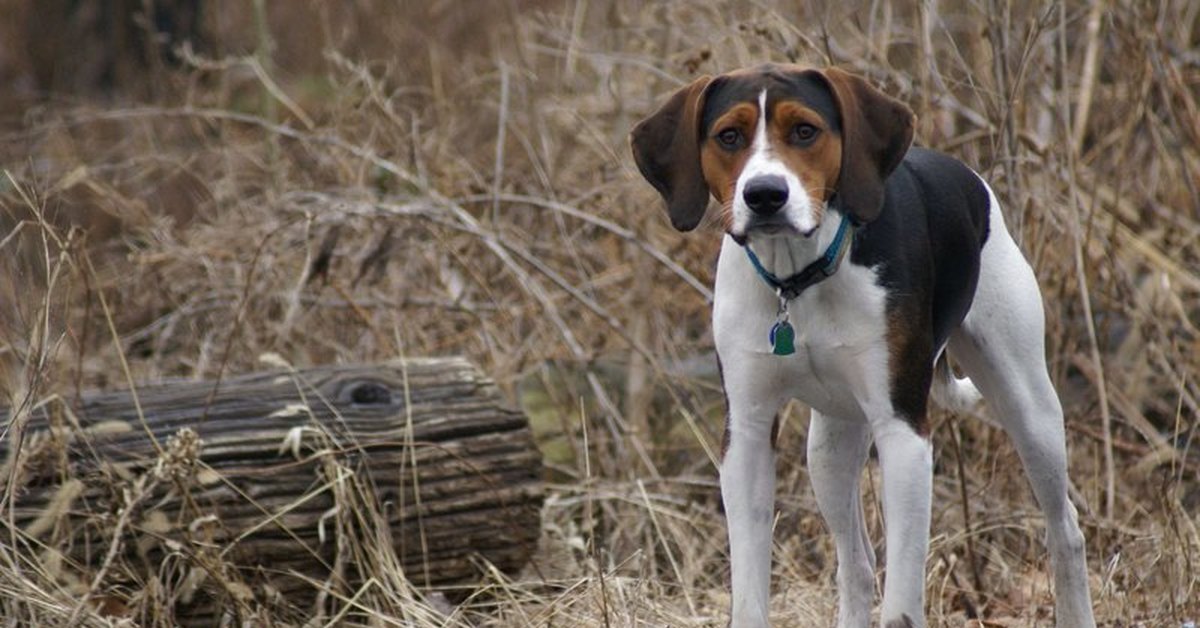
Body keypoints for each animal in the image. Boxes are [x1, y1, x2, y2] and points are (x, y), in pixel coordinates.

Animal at [628, 65, 1099, 628]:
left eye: (804, 130)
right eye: (729, 136)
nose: (765, 194)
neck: (799, 280)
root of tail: (965, 175)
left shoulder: (903, 433)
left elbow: (901, 607)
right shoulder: (746, 434)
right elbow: (750, 594)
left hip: (1030, 410)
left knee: (1065, 529)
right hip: (828, 447)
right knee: (856, 563)